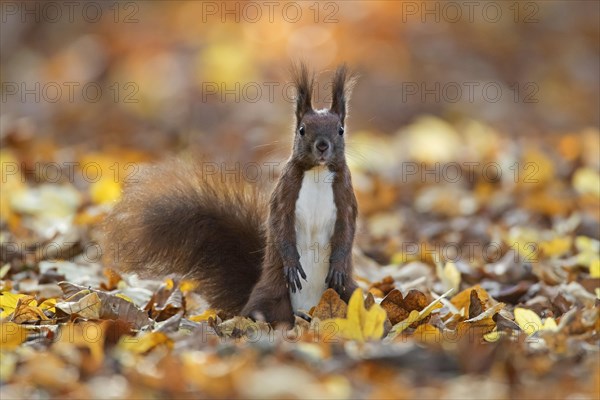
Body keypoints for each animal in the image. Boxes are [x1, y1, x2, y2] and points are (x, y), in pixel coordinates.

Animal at [102, 62, 356, 324]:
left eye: (341, 130)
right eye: (302, 130)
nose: (322, 146)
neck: (317, 172)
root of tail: (309, 312)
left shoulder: (346, 197)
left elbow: (347, 230)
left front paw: (337, 265)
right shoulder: (284, 195)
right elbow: (280, 226)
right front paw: (292, 263)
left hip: (348, 293)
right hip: (270, 295)